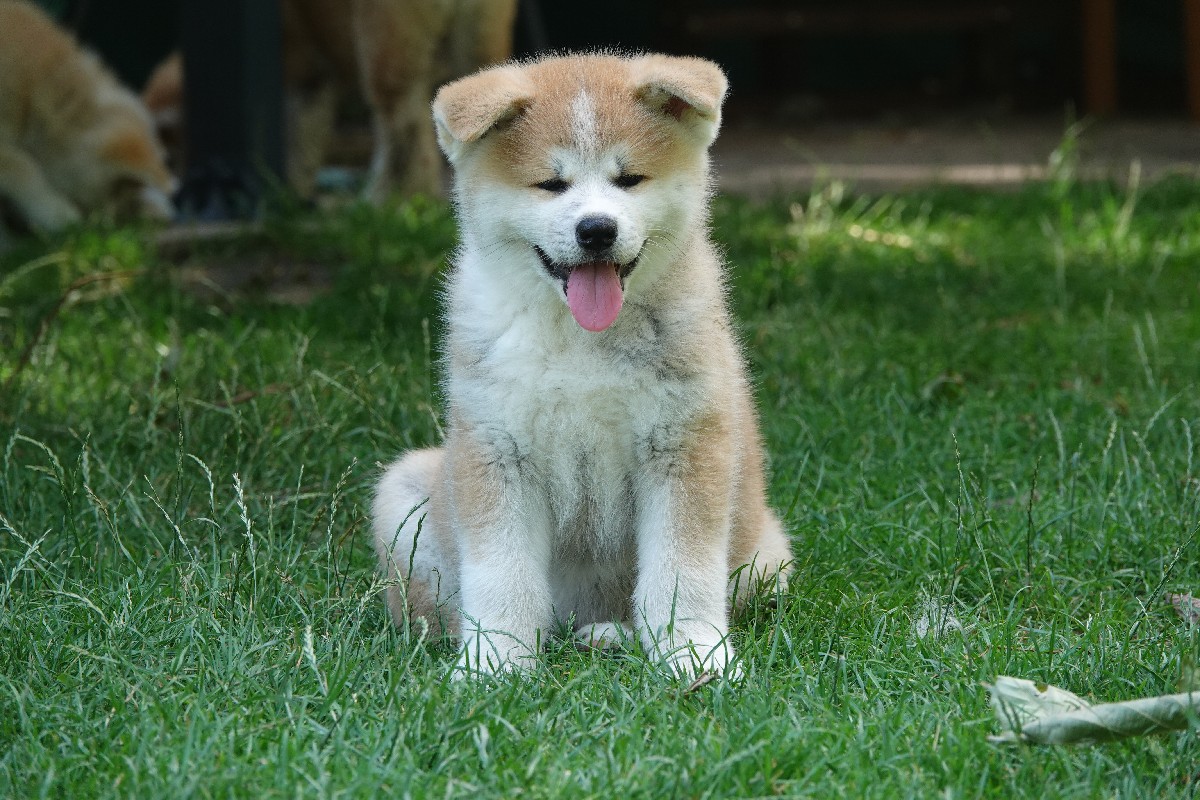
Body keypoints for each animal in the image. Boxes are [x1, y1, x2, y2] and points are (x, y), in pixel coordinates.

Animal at [371, 52, 794, 678]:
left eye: (629, 179)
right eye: (551, 184)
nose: (596, 229)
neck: (580, 338)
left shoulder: (686, 441)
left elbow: (682, 571)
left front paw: (693, 652)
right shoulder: (497, 447)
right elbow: (501, 575)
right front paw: (495, 659)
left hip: (768, 560)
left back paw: (611, 636)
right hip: (405, 490)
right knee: (437, 608)